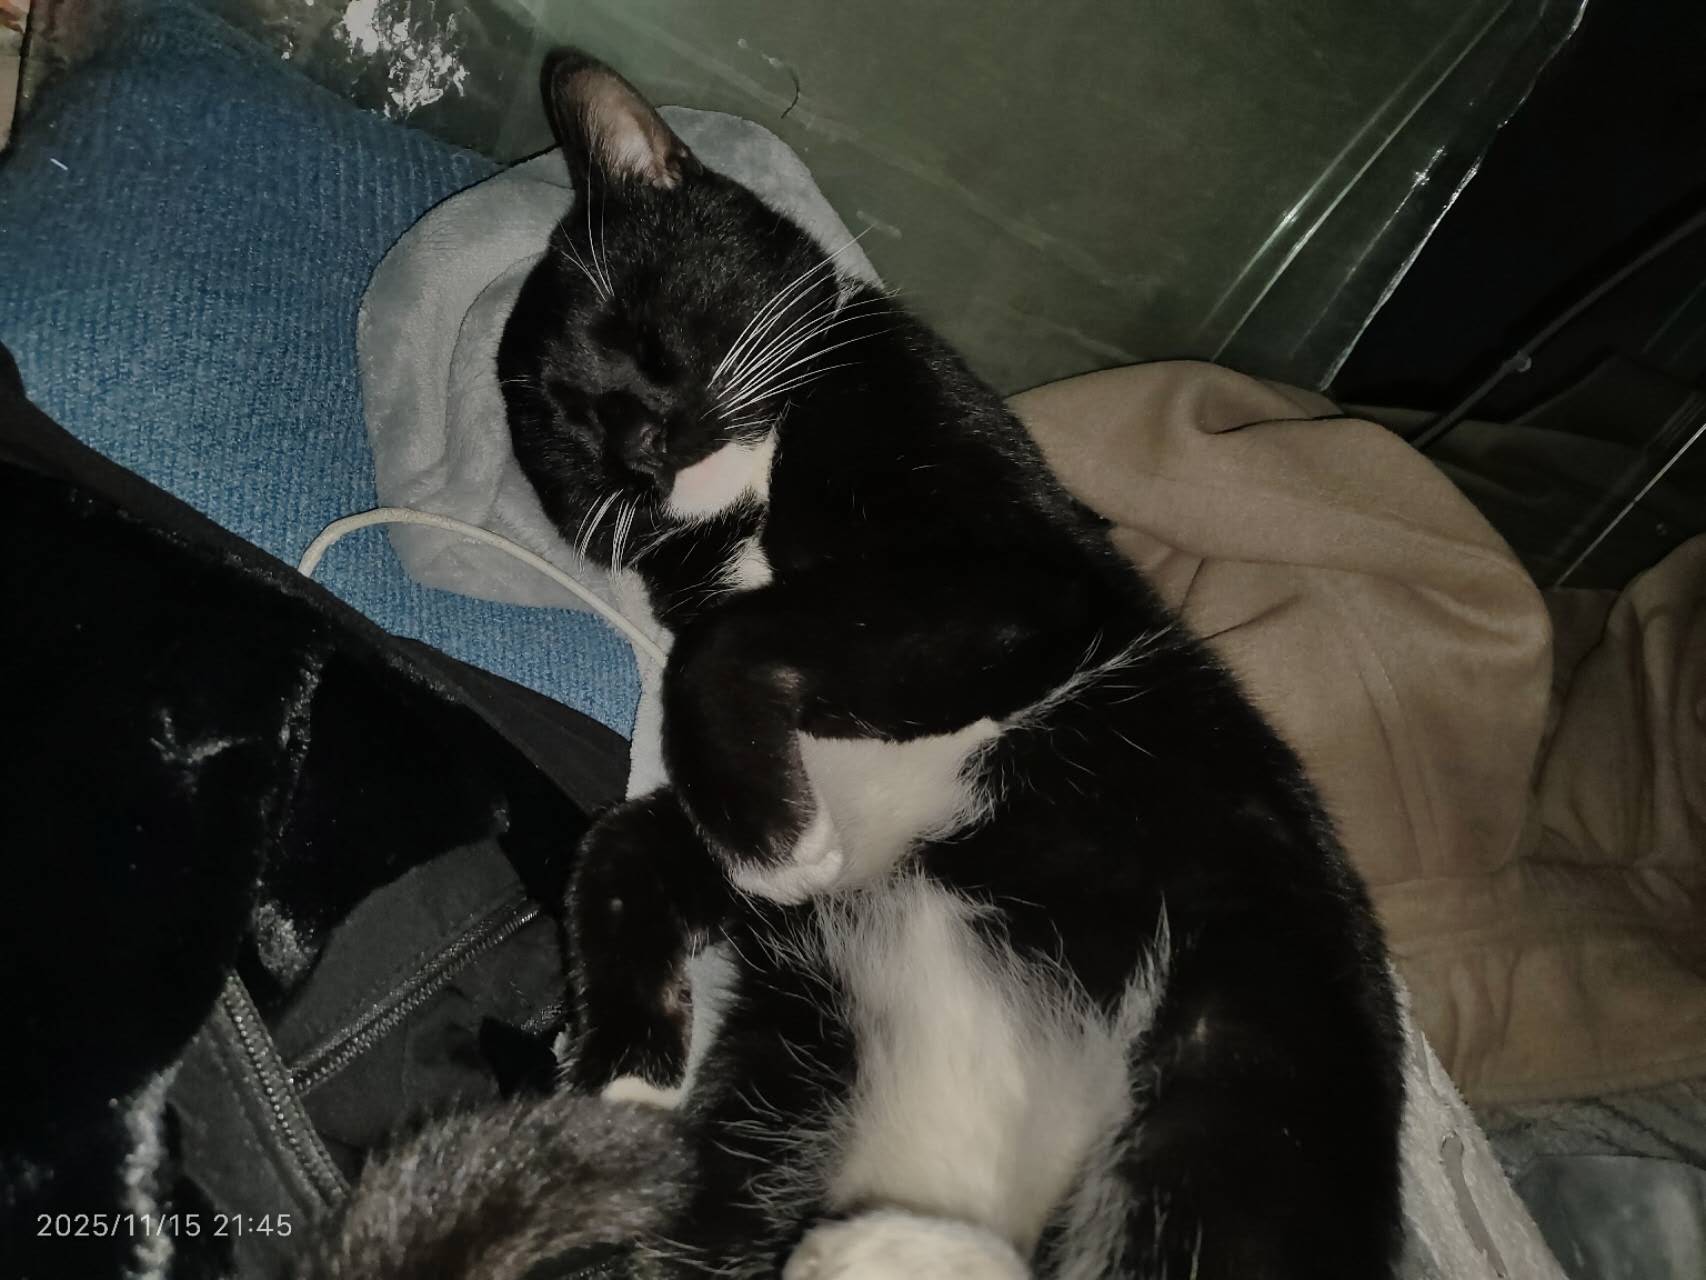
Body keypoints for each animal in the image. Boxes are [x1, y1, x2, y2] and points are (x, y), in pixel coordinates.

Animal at [320, 48, 1406, 1280]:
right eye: (564, 428)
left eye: (634, 328)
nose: (635, 442)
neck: (746, 510)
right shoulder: (812, 848)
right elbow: (626, 841)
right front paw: (627, 1064)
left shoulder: (1011, 585)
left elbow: (725, 654)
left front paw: (768, 843)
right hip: (791, 1097)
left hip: (1235, 1065)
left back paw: (876, 1242)